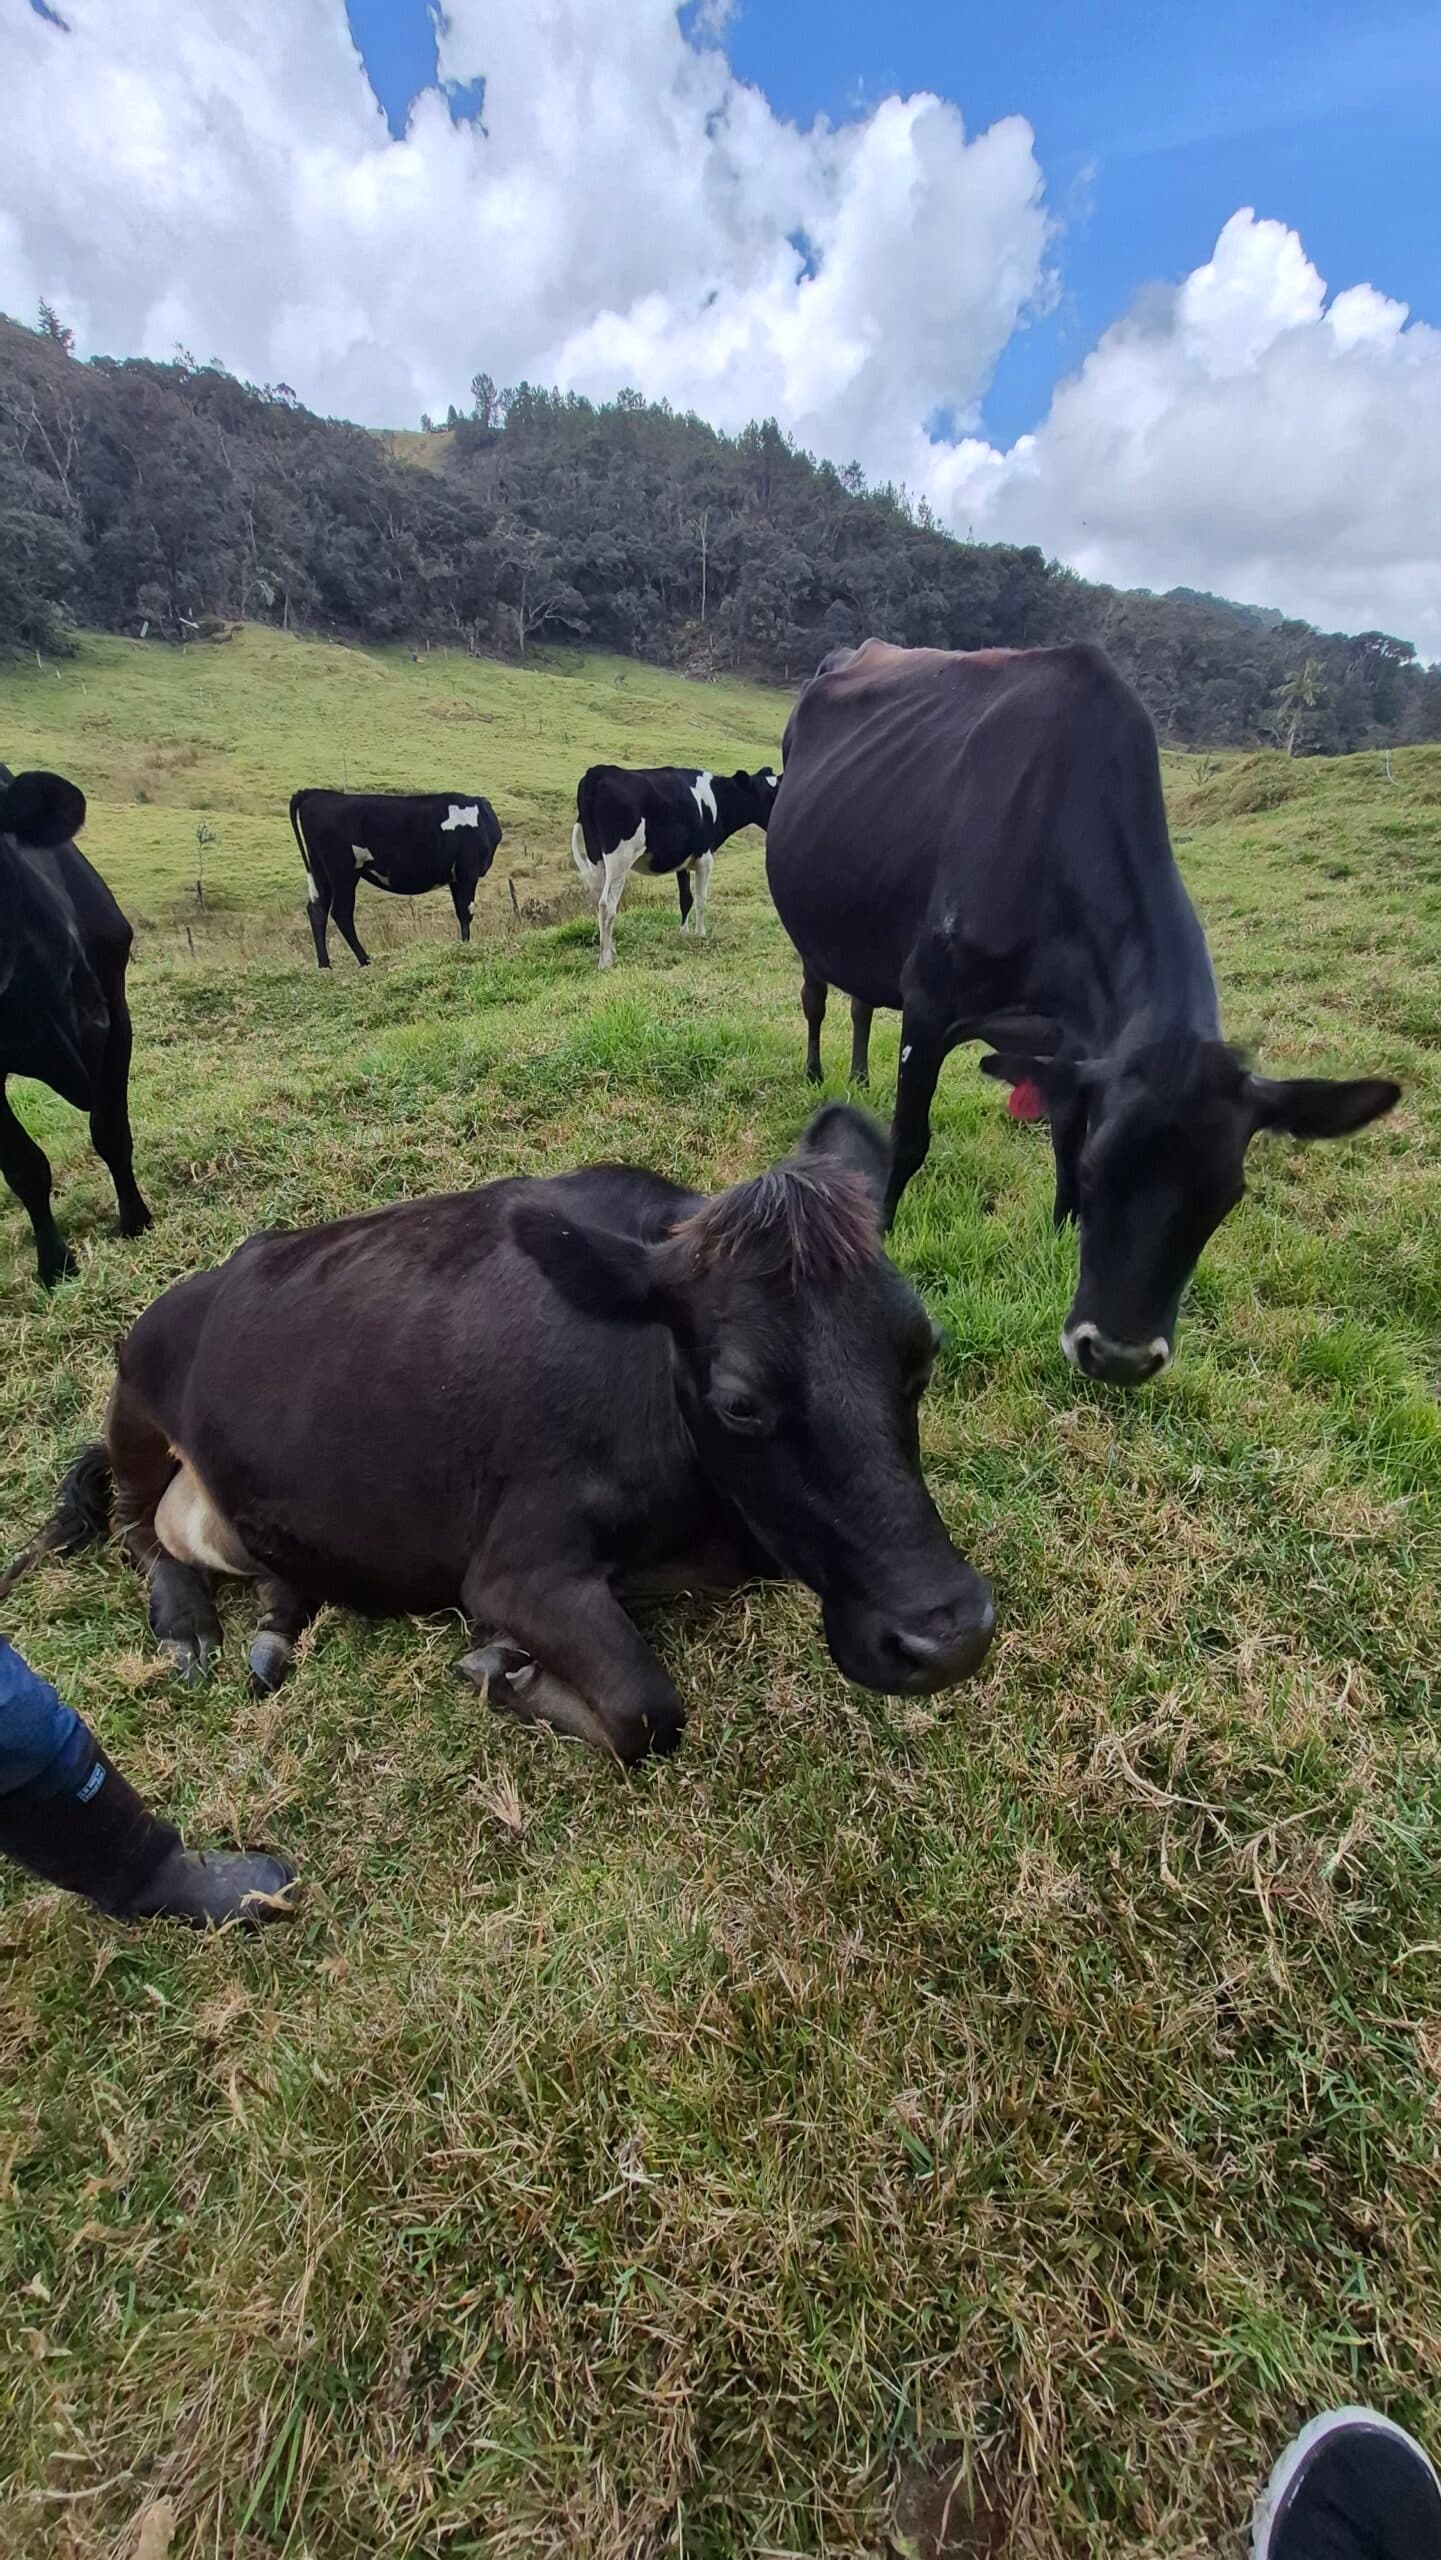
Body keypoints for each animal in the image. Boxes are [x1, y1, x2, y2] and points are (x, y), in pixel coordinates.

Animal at [12, 1105, 995, 1760]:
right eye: (740, 1401)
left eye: (922, 1354)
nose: (946, 1635)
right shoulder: (514, 1567)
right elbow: (646, 1710)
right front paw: (502, 1671)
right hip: (137, 1391)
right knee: (137, 1527)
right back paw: (186, 1623)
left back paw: (277, 1621)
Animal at [290, 788, 503, 968]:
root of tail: (314, 793)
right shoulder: (468, 871)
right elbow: (466, 911)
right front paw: (467, 948)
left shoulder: (456, 877)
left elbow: (460, 911)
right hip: (342, 871)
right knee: (341, 913)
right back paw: (364, 960)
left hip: (319, 869)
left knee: (317, 910)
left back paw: (324, 965)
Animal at [570, 763, 779, 968]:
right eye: (767, 795)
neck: (716, 799)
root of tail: (598, 772)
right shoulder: (705, 858)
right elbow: (701, 899)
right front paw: (701, 935)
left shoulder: (683, 863)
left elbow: (685, 899)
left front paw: (683, 934)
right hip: (620, 857)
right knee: (606, 904)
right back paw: (605, 961)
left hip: (596, 857)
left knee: (598, 899)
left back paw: (610, 949)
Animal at [766, 640, 1400, 1385]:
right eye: (1105, 1172)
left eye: (1225, 1198)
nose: (1121, 1356)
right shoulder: (928, 1001)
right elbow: (911, 1139)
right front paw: (883, 1234)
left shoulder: (1074, 1046)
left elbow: (1061, 1135)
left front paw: (1055, 1235)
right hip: (817, 929)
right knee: (817, 997)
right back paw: (817, 1070)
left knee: (863, 1001)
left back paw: (859, 1074)